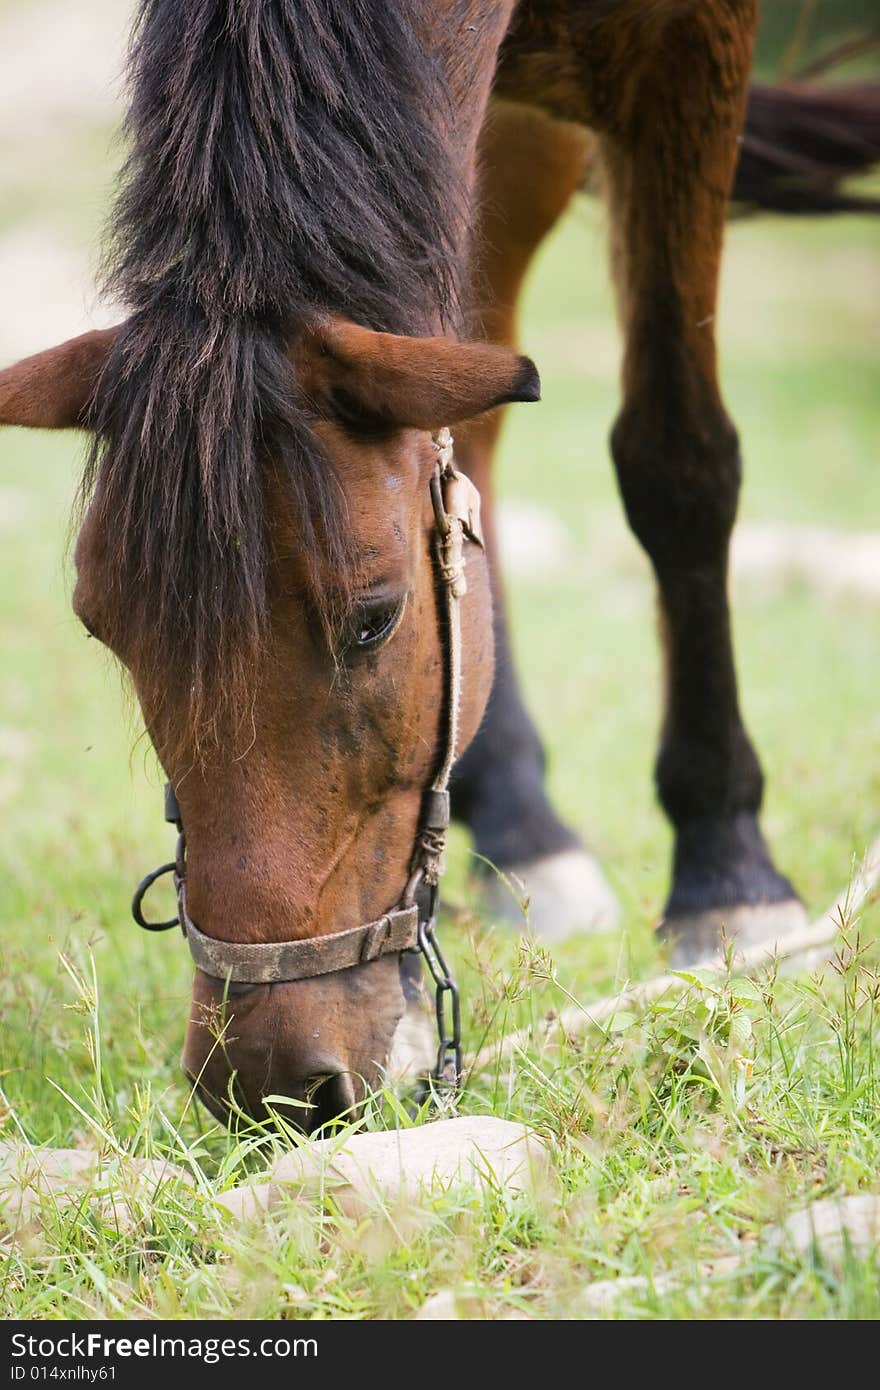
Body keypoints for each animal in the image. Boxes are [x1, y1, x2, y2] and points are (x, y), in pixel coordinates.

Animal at [0, 2, 873, 1128]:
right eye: (98, 623)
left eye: (374, 617)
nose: (265, 1085)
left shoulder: (688, 57)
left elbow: (678, 461)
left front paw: (729, 871)